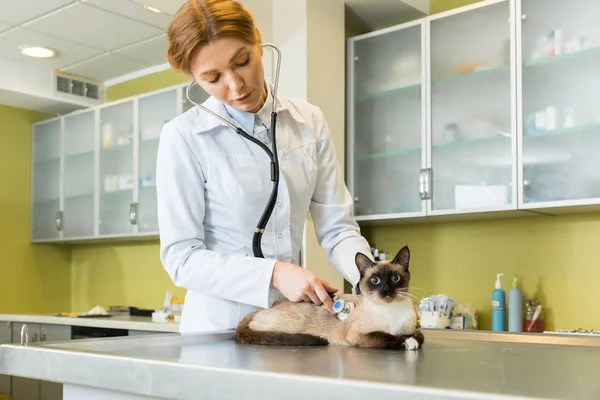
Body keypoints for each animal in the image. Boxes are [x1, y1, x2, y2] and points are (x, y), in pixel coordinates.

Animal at [237, 245, 424, 352]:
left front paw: (412, 340)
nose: (386, 290)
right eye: (375, 281)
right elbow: (387, 337)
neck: (391, 309)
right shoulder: (359, 336)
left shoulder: (414, 327)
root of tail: (260, 309)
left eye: (395, 278)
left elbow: (419, 335)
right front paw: (407, 343)